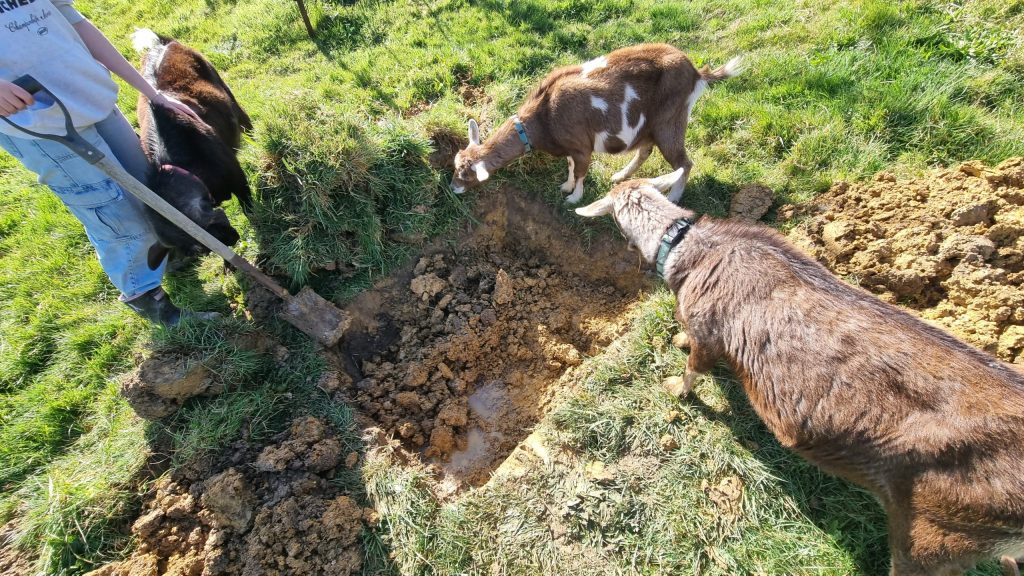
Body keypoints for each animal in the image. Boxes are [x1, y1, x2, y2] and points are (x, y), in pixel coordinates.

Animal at [450, 44, 742, 204]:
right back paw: (620, 176)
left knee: (684, 162)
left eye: (467, 175)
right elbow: (570, 167)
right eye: (455, 165)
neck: (543, 117)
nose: (453, 189)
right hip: (648, 126)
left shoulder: (581, 145)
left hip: (670, 121)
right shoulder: (570, 146)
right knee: (645, 149)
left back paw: (673, 197)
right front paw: (566, 187)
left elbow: (580, 171)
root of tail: (696, 73)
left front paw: (573, 197)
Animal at [576, 170, 1024, 576]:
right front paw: (678, 341)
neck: (689, 252)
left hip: (936, 534)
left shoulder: (709, 326)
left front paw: (675, 387)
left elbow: (694, 368)